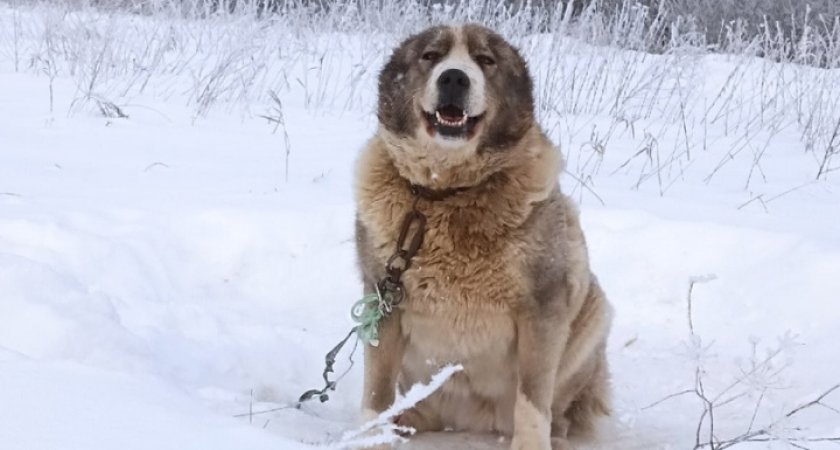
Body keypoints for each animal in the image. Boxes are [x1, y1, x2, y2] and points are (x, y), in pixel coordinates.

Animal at [352, 24, 612, 450]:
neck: (446, 194)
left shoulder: (544, 304)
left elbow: (532, 398)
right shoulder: (382, 297)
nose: (454, 78)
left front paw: (531, 445)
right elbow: (377, 390)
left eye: (486, 60)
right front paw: (372, 438)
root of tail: (471, 422)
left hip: (593, 308)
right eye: (431, 55)